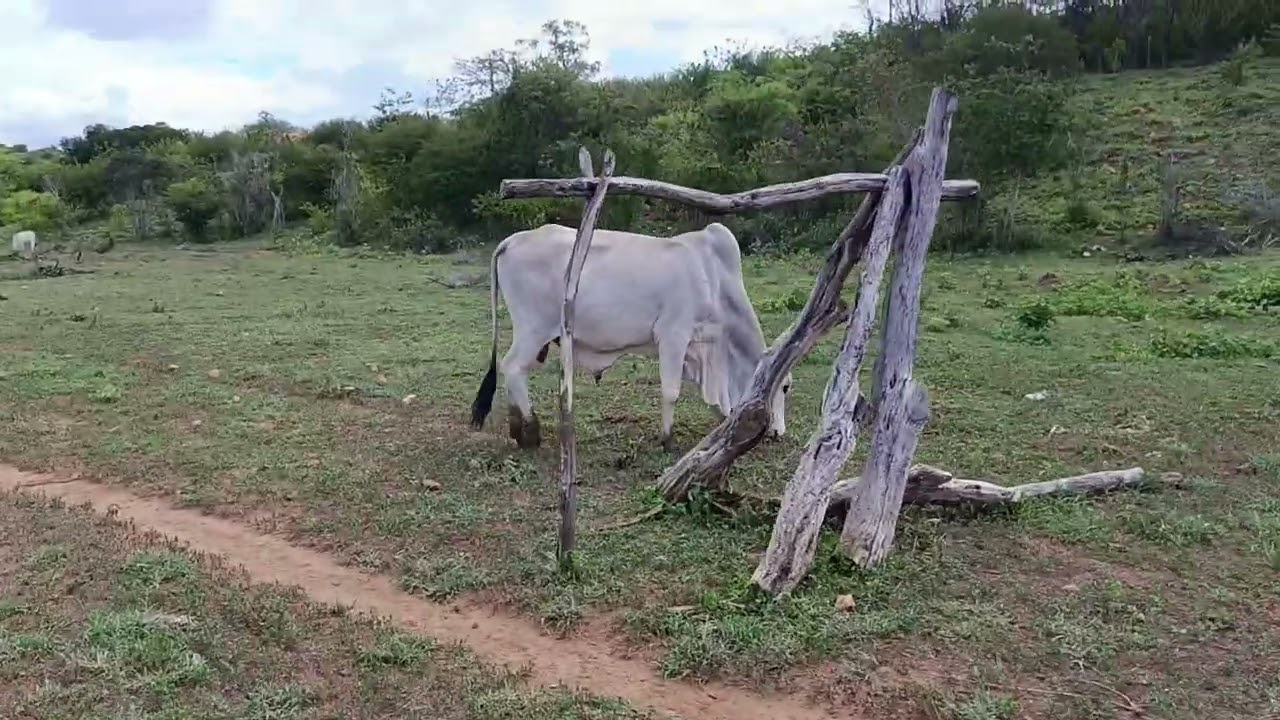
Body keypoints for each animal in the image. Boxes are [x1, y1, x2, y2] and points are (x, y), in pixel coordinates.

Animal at [468, 222, 792, 452]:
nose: (778, 432)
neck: (713, 277)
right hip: (533, 328)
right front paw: (666, 439)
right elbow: (671, 391)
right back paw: (530, 431)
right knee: (512, 367)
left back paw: (518, 430)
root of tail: (513, 239)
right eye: (786, 386)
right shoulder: (674, 335)